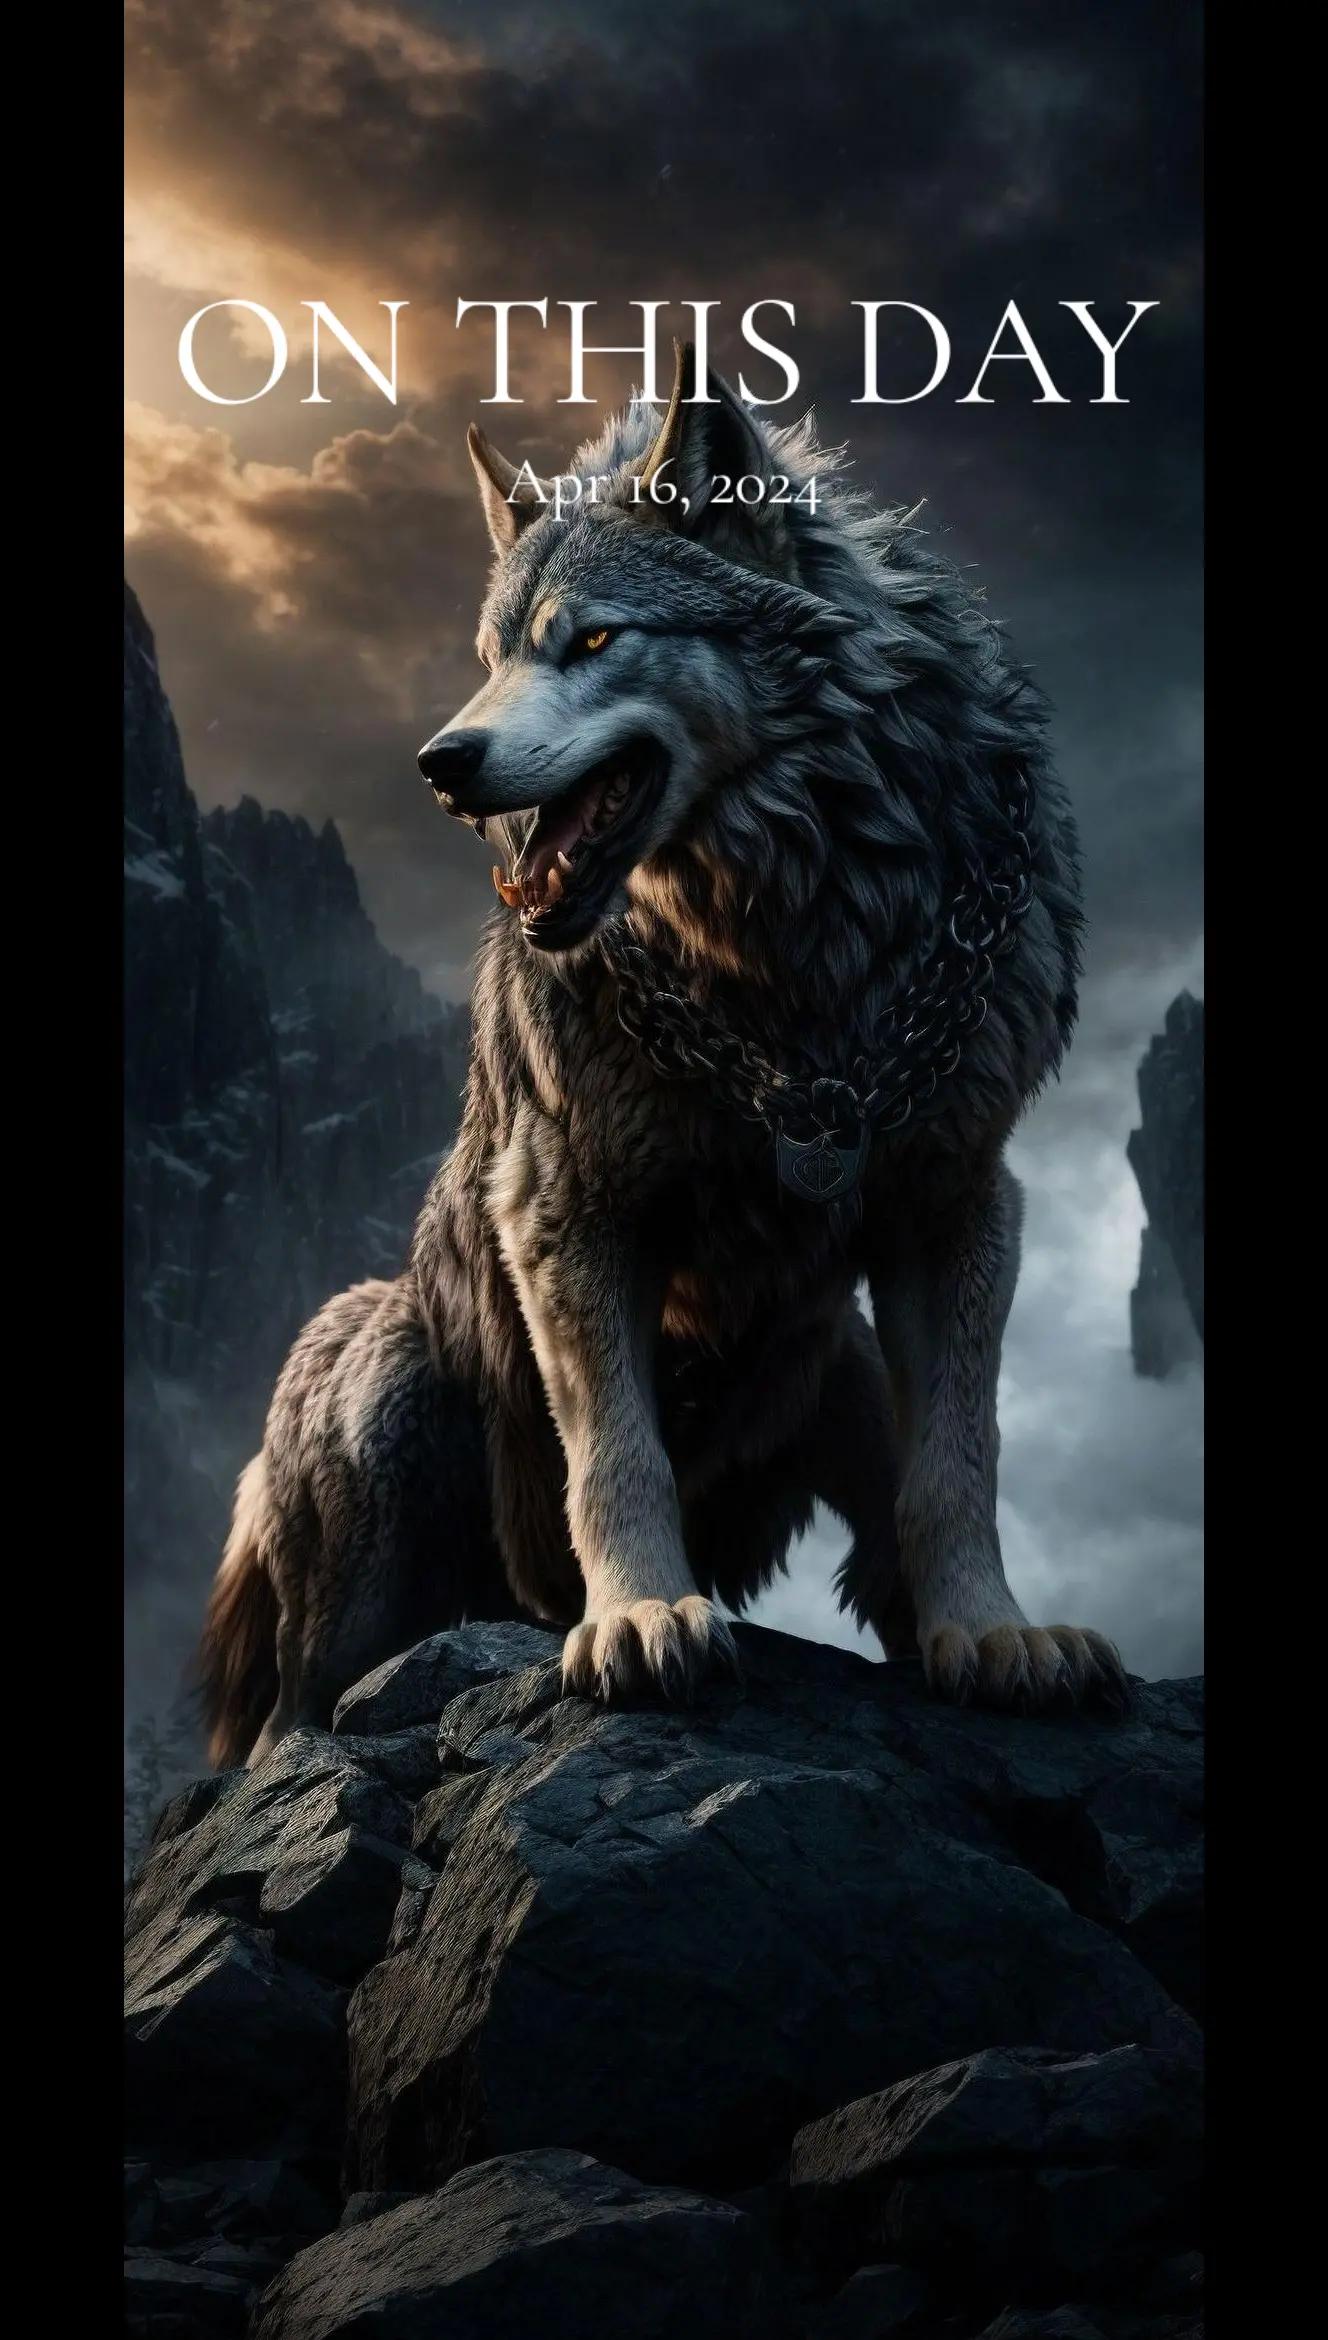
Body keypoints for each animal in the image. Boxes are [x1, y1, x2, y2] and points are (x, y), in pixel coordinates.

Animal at [199, 342, 1125, 1768]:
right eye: (487, 659)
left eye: (590, 640)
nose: (440, 764)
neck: (790, 935)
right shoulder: (563, 1205)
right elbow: (614, 1451)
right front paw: (639, 1616)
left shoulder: (958, 1197)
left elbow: (958, 1459)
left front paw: (991, 1632)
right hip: (386, 1392)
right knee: (295, 1719)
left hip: (834, 1361)